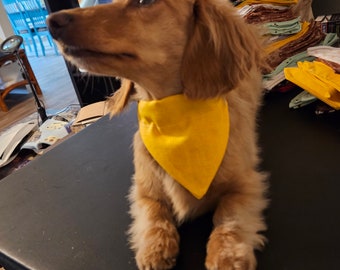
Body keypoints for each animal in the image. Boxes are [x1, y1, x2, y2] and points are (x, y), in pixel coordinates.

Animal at [47, 1, 268, 268]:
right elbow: (154, 213)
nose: (51, 22)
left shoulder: (246, 184)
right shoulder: (142, 190)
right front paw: (156, 249)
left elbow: (229, 216)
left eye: (144, 2)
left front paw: (226, 256)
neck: (173, 122)